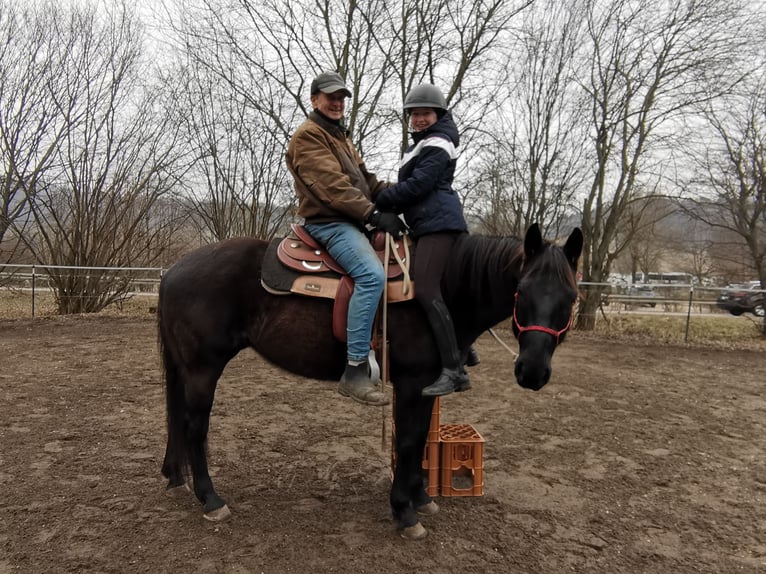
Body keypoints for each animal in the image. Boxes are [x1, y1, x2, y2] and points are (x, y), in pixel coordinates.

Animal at [159, 224, 584, 540]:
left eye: (571, 296)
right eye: (521, 291)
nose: (532, 371)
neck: (442, 289)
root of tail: (174, 269)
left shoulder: (427, 386)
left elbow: (419, 440)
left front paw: (421, 497)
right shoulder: (412, 383)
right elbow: (409, 441)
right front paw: (404, 512)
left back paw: (176, 479)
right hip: (203, 369)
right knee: (195, 427)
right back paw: (211, 499)